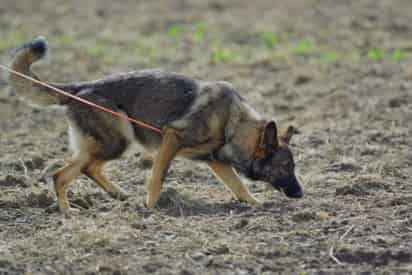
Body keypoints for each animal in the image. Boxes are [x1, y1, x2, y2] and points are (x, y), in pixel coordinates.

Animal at [6, 36, 302, 216]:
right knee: (63, 174)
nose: (301, 194)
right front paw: (149, 207)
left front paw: (255, 204)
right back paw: (68, 211)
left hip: (109, 145)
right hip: (118, 140)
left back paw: (115, 194)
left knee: (83, 169)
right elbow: (157, 178)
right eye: (286, 167)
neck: (234, 124)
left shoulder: (216, 161)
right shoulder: (171, 140)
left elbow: (239, 186)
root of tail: (80, 88)